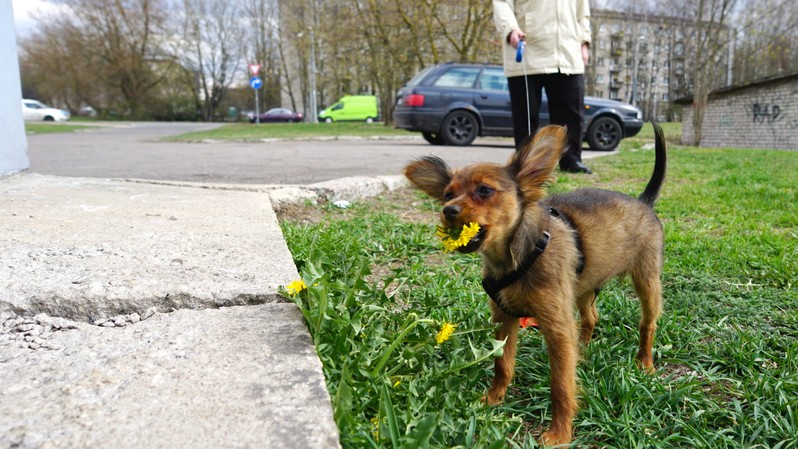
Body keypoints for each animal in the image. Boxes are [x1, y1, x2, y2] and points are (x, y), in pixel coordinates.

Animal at [406, 122, 668, 444]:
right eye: (447, 195)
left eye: (485, 190)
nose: (448, 210)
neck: (515, 257)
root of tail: (643, 202)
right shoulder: (504, 317)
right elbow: (502, 365)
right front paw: (493, 399)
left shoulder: (556, 326)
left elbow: (561, 385)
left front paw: (560, 433)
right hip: (580, 288)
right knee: (591, 317)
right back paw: (583, 347)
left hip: (646, 280)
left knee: (647, 324)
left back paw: (644, 361)